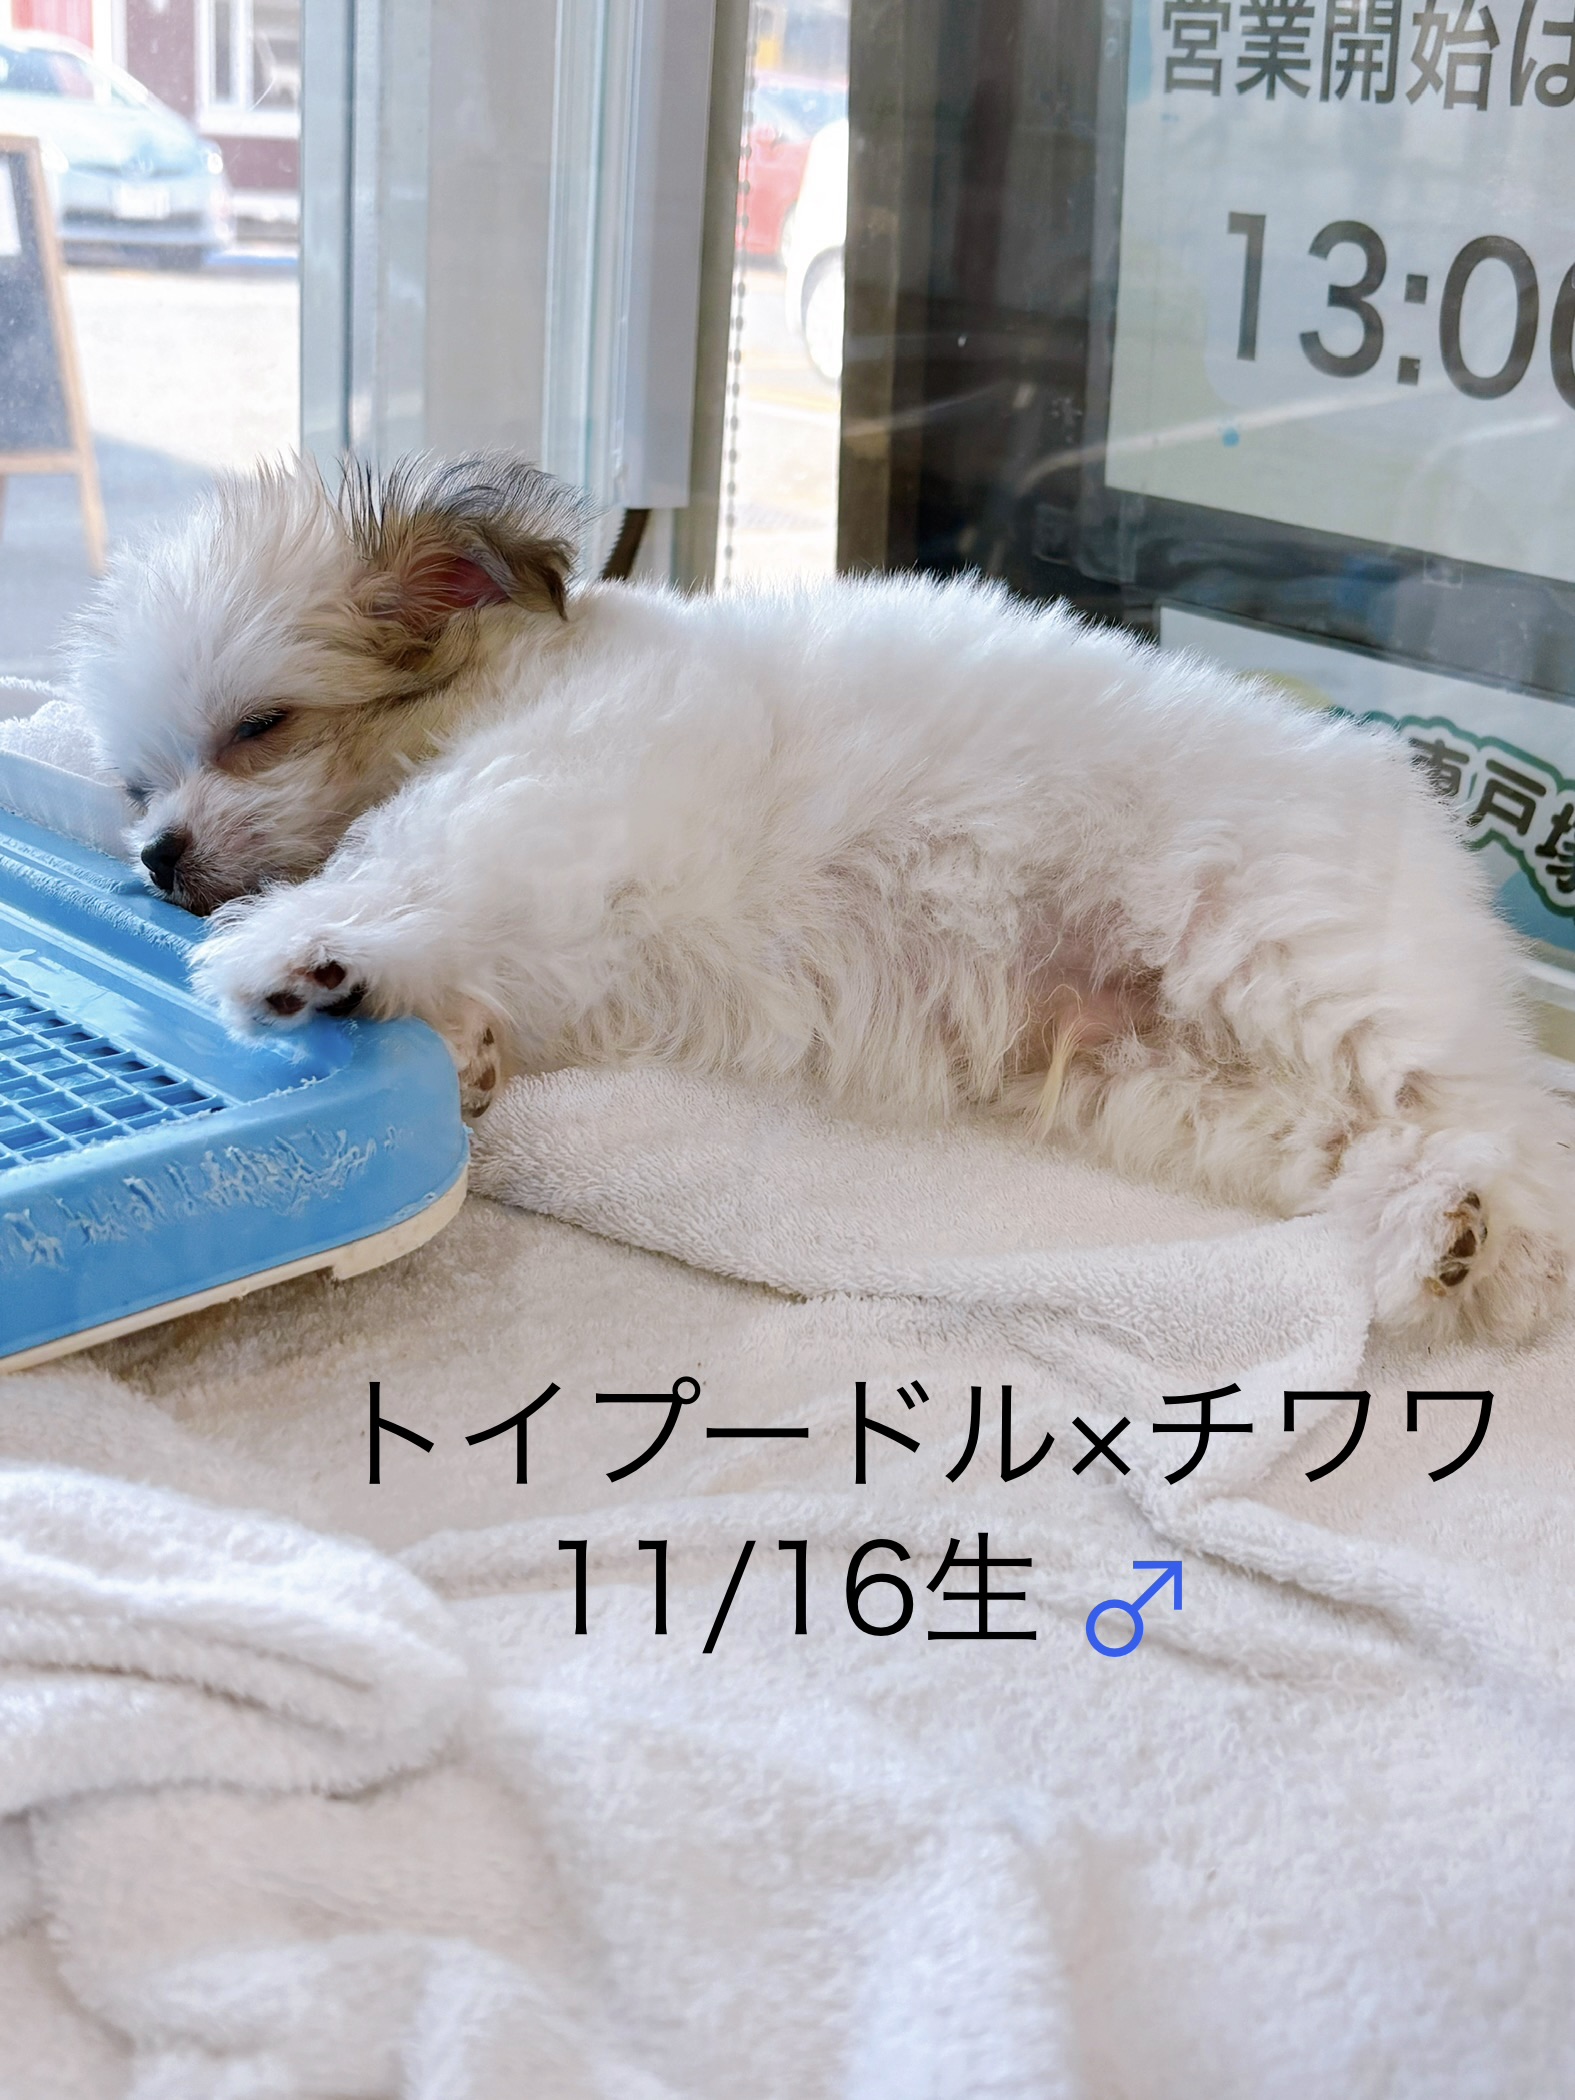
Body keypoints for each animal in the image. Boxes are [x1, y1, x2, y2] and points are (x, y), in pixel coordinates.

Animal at [71, 452, 1572, 1339]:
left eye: (258, 728)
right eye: (138, 784)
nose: (157, 858)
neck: (491, 688)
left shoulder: (543, 784)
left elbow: (412, 856)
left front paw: (299, 952)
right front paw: (450, 1034)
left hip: (1286, 956)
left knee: (1492, 1115)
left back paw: (1492, 1246)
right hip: (1169, 1081)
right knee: (1360, 1139)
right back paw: (1439, 1240)